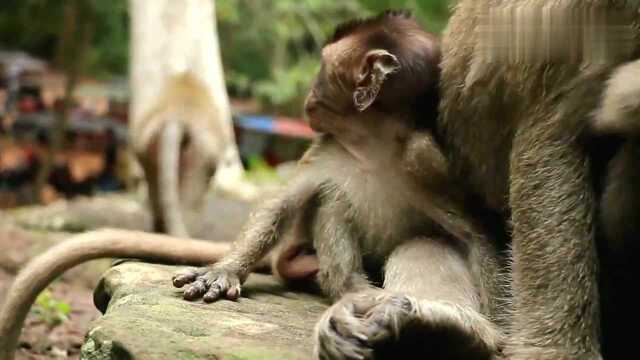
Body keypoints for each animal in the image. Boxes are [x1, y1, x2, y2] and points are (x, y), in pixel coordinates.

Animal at [175, 9, 504, 358]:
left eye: (322, 67)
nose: (309, 91)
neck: (371, 148)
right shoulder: (325, 149)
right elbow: (281, 206)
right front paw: (224, 271)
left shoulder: (426, 158)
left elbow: (473, 232)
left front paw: (496, 329)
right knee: (333, 198)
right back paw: (357, 293)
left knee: (424, 241)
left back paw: (433, 326)